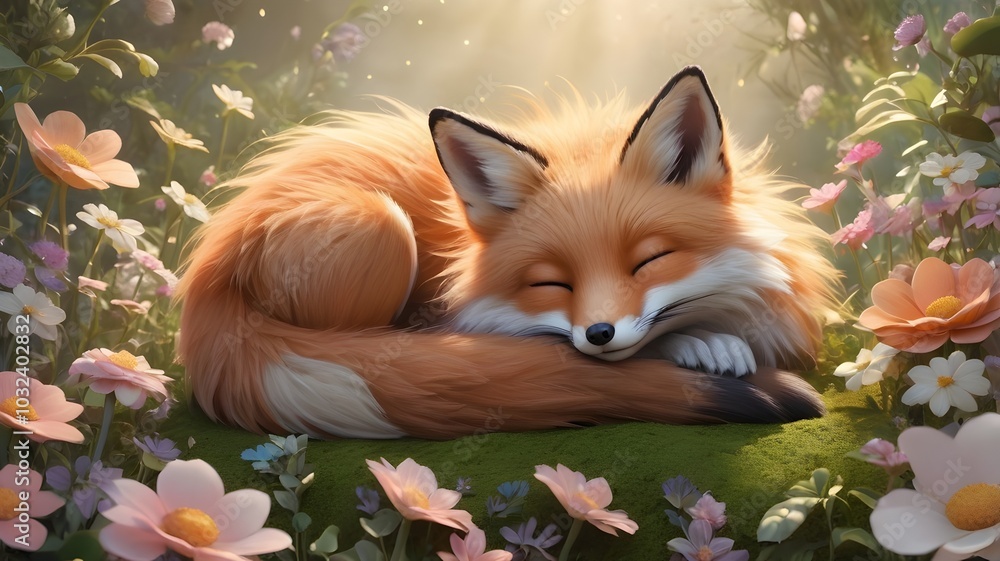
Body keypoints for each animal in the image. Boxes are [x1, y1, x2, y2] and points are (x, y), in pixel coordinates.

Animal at [177, 66, 839, 439]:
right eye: (552, 283)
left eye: (648, 260)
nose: (599, 333)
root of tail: (211, 268)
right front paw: (699, 344)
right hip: (380, 225)